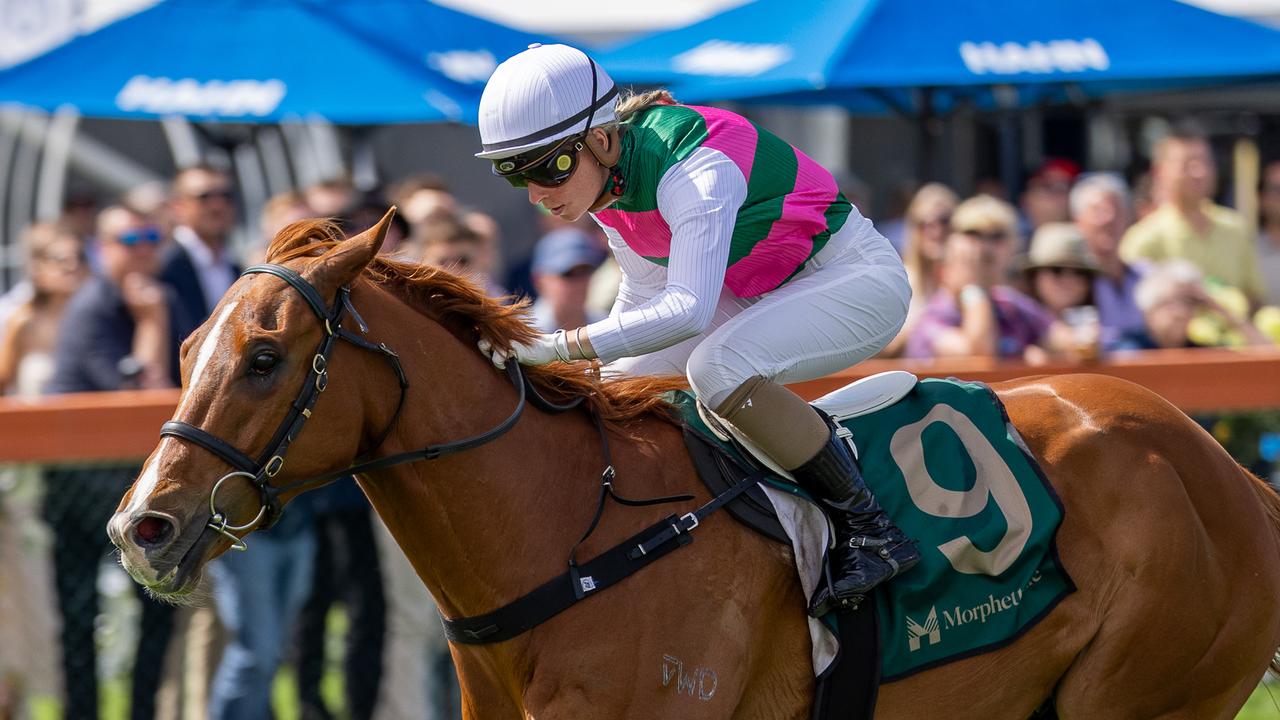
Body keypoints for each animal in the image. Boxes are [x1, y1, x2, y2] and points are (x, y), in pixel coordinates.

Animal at [107, 213, 1280, 717]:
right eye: (182, 348)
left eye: (264, 357)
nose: (142, 526)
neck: (570, 537)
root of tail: (1230, 478)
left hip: (1142, 695)